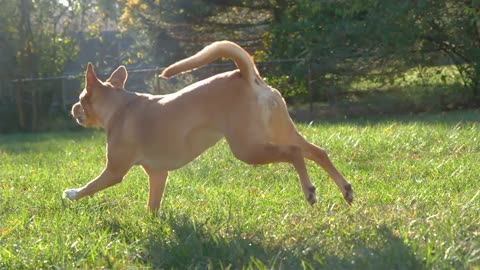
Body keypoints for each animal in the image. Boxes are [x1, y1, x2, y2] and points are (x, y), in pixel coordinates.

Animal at [62, 41, 352, 212]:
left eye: (80, 98)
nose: (73, 108)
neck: (120, 105)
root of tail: (245, 75)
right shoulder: (158, 175)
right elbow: (153, 205)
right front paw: (152, 224)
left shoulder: (114, 171)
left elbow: (90, 187)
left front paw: (72, 193)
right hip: (281, 130)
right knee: (316, 152)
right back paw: (345, 189)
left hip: (248, 149)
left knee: (293, 153)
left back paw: (309, 191)